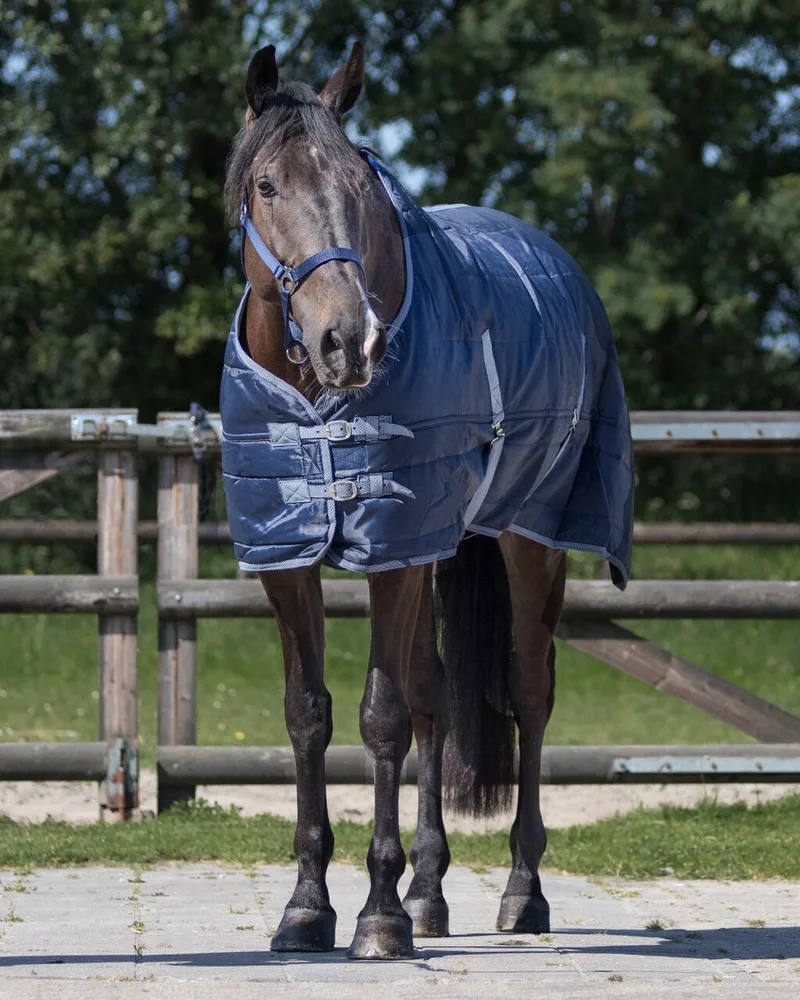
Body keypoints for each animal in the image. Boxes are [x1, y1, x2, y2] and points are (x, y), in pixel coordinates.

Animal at [220, 41, 634, 960]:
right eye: (267, 185)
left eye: (360, 183)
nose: (350, 340)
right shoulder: (291, 555)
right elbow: (310, 715)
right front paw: (308, 907)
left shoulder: (393, 549)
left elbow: (380, 717)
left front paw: (376, 918)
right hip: (445, 545)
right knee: (437, 691)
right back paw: (431, 894)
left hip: (529, 541)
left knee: (527, 691)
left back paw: (522, 894)